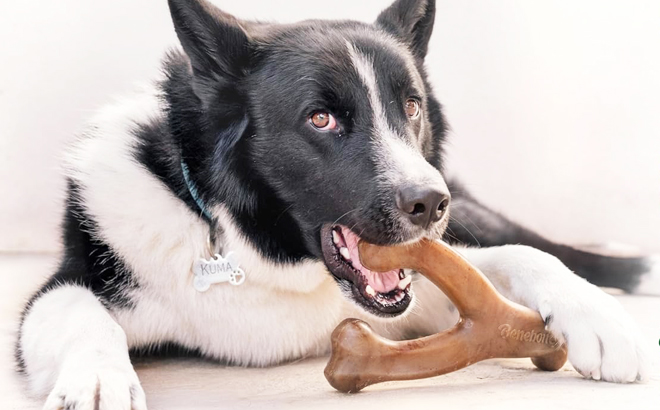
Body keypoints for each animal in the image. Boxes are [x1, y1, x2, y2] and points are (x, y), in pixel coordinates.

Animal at [14, 0, 656, 410]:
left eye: (411, 106)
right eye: (321, 119)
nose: (431, 203)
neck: (255, 252)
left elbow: (521, 255)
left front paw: (599, 319)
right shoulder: (67, 284)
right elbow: (81, 314)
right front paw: (99, 382)